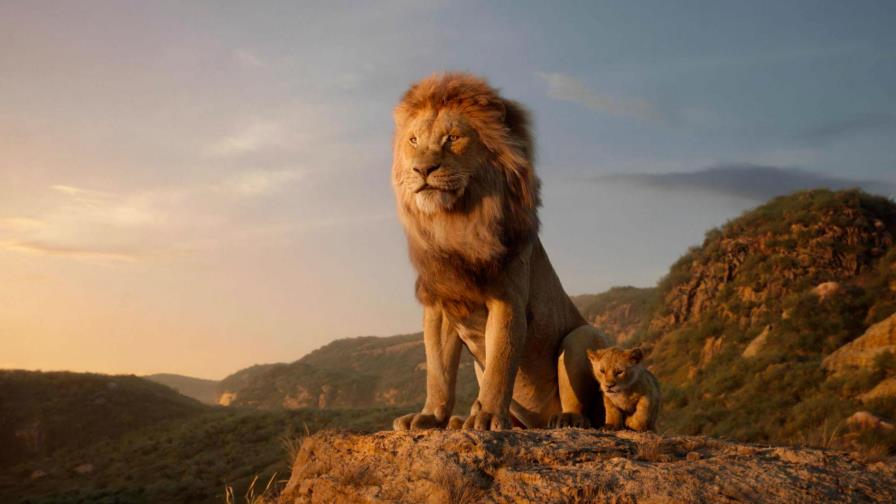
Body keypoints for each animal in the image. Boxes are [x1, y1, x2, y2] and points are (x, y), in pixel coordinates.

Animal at [390, 73, 611, 431]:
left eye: (452, 138)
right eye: (413, 140)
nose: (422, 169)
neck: (455, 222)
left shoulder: (508, 299)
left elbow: (500, 364)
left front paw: (488, 416)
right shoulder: (440, 305)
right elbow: (438, 372)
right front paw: (430, 416)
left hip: (582, 336)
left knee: (585, 408)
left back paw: (565, 419)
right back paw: (461, 420)